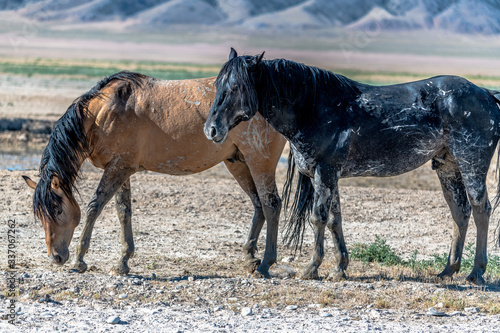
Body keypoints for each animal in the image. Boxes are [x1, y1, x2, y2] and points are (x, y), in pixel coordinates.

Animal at [24, 71, 286, 276]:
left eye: (58, 210)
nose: (56, 257)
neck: (102, 114)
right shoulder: (121, 169)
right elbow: (123, 212)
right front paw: (123, 262)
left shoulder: (117, 169)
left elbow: (94, 208)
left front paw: (80, 260)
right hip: (238, 163)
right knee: (258, 204)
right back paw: (250, 258)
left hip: (259, 162)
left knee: (271, 204)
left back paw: (265, 264)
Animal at [205, 48, 500, 282]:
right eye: (218, 84)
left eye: (236, 87)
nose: (211, 129)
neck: (315, 108)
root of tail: (486, 93)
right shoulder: (328, 176)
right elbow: (335, 220)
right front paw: (340, 268)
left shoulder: (324, 172)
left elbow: (318, 217)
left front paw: (311, 268)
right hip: (448, 167)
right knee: (460, 212)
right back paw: (448, 270)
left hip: (471, 165)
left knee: (480, 209)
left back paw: (476, 272)